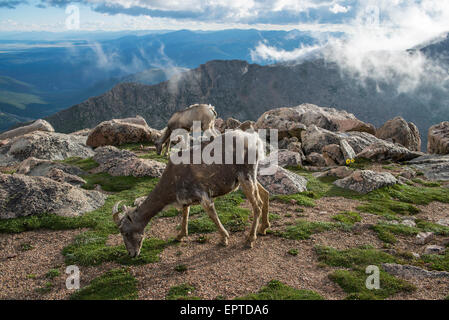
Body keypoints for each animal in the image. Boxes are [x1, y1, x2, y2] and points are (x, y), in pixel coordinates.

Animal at [112, 130, 270, 258]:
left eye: (125, 232)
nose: (132, 254)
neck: (172, 181)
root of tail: (256, 140)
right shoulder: (186, 199)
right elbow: (185, 214)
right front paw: (179, 236)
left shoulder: (203, 195)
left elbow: (212, 215)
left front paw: (224, 238)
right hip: (249, 177)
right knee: (265, 193)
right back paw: (263, 228)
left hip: (246, 175)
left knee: (257, 204)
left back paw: (250, 239)